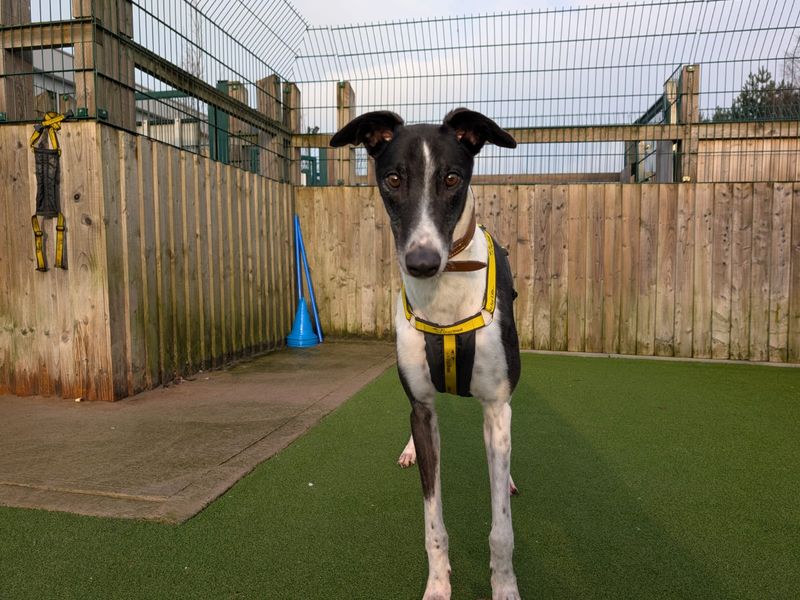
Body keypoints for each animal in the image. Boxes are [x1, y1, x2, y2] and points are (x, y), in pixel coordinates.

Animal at [330, 109, 520, 600]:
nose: (421, 263)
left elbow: (501, 529)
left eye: (452, 178)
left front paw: (505, 587)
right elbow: (433, 520)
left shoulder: (496, 404)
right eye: (393, 179)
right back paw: (411, 450)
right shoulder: (421, 405)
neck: (446, 294)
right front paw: (438, 585)